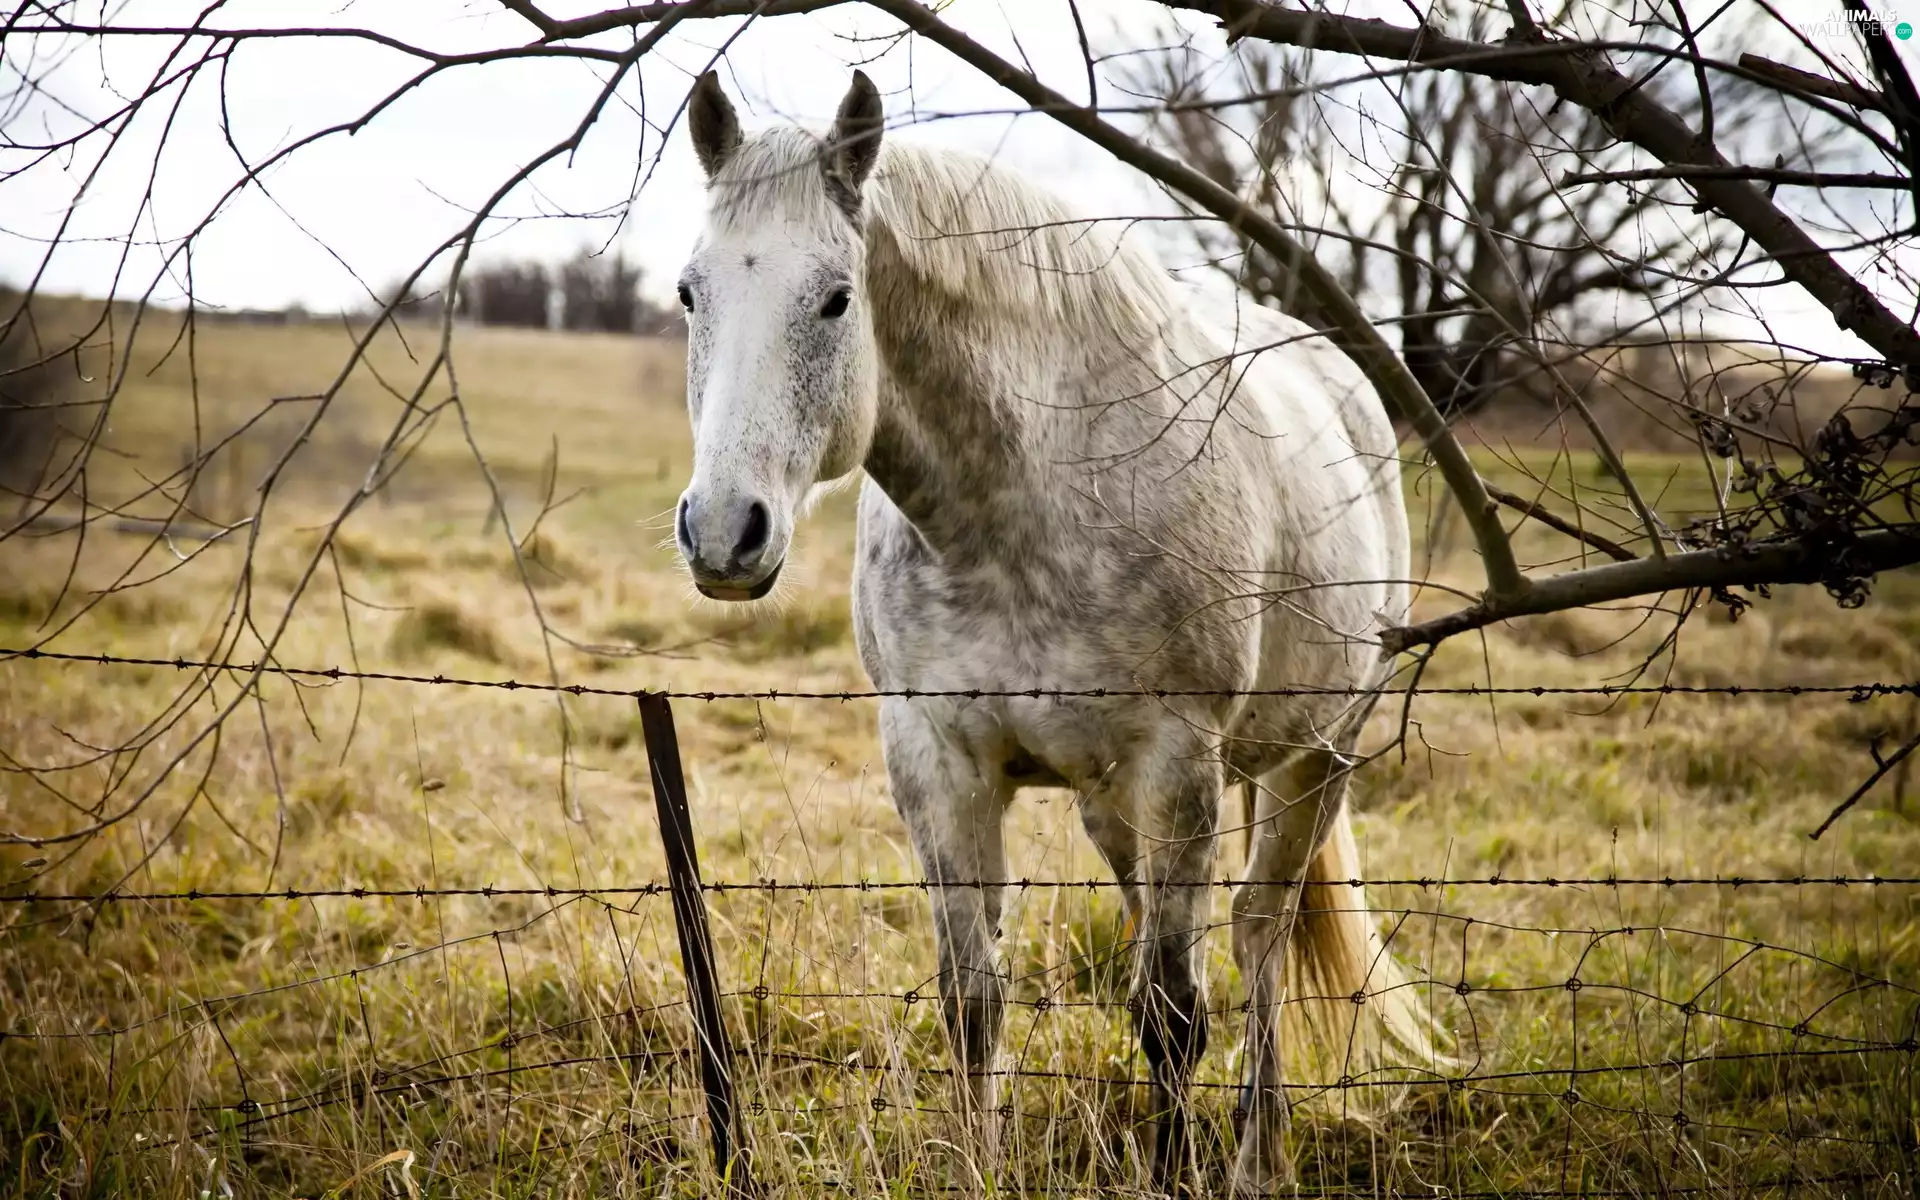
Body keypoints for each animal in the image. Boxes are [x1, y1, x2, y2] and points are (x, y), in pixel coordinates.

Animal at [671, 69, 1435, 1195]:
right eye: (693, 293)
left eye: (837, 298)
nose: (725, 532)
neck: (1022, 508)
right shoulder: (936, 761)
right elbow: (973, 1002)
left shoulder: (1179, 763)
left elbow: (1173, 1017)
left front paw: (1176, 1176)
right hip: (1117, 805)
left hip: (1315, 758)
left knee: (1256, 940)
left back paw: (1257, 1157)